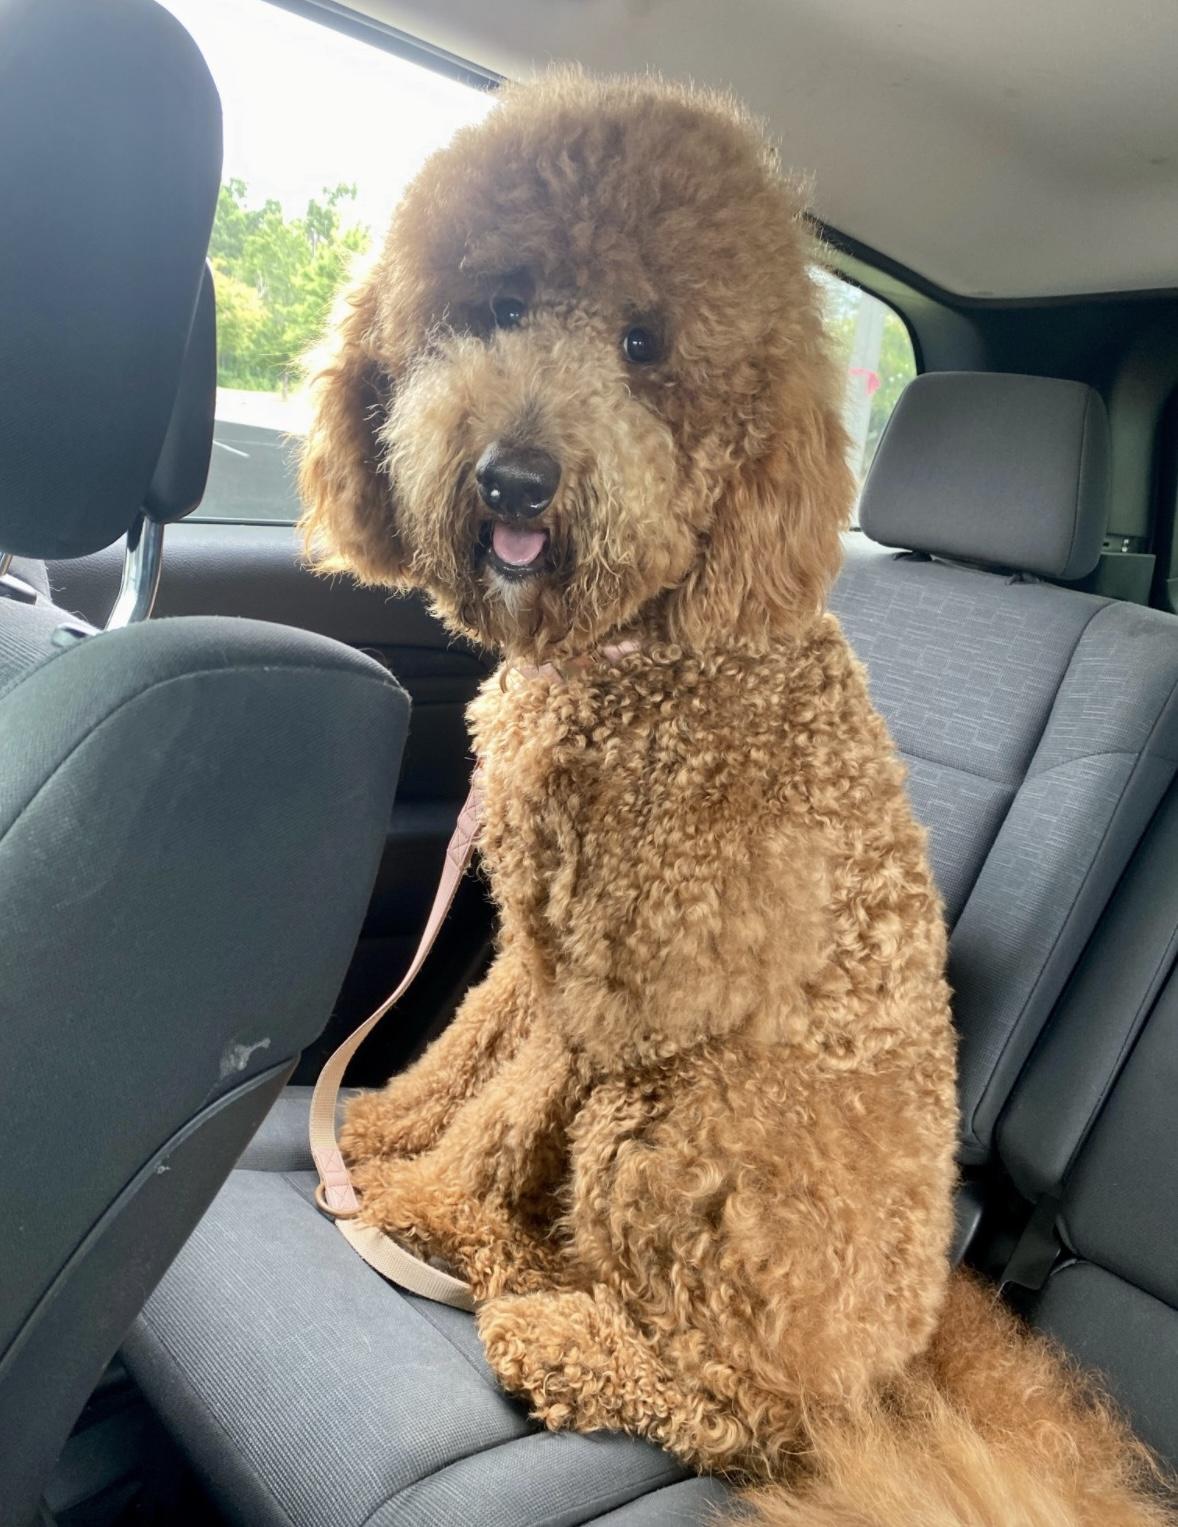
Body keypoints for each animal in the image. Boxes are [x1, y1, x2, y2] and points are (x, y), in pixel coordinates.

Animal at [299, 71, 1172, 1525]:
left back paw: (533, 1308)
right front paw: (376, 1123)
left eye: (643, 345)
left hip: (679, 1134)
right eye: (497, 304)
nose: (515, 475)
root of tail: (895, 1355)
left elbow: (500, 1113)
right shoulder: (537, 944)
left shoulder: (625, 994)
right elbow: (465, 1049)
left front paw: (412, 1200)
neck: (643, 656)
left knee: (735, 1403)